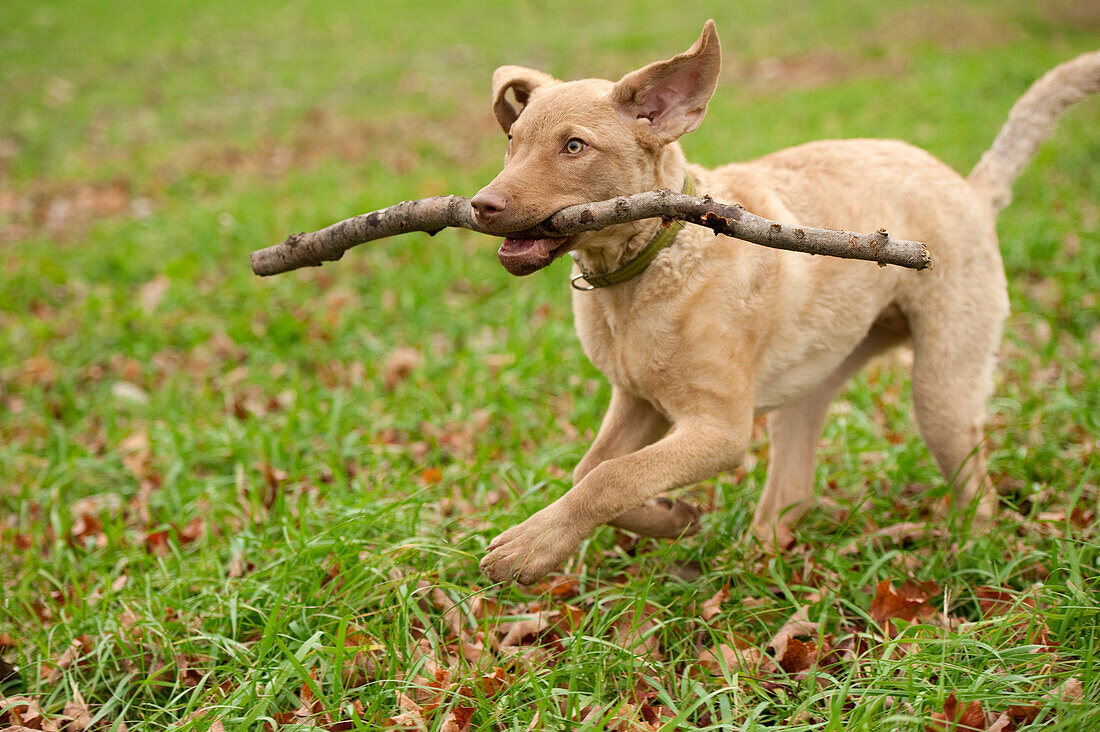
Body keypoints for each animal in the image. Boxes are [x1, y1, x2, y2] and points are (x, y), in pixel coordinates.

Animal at [468, 18, 1095, 581]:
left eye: (574, 146)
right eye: (511, 143)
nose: (481, 205)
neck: (647, 269)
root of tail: (971, 187)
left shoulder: (720, 430)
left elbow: (612, 476)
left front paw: (528, 548)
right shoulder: (638, 400)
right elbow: (592, 470)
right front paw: (670, 518)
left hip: (941, 391)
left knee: (977, 489)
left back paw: (973, 556)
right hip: (811, 385)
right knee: (791, 491)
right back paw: (756, 563)